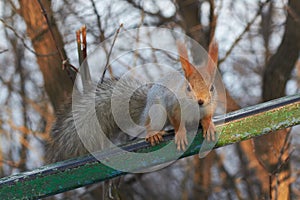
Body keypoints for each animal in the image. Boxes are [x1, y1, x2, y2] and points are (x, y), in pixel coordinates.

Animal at [45, 40, 217, 162]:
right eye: (188, 88)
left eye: (212, 88)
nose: (200, 101)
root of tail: (145, 107)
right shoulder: (172, 104)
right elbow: (176, 120)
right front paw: (180, 133)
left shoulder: (209, 106)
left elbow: (207, 116)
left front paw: (208, 125)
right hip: (155, 111)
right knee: (150, 123)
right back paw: (153, 134)